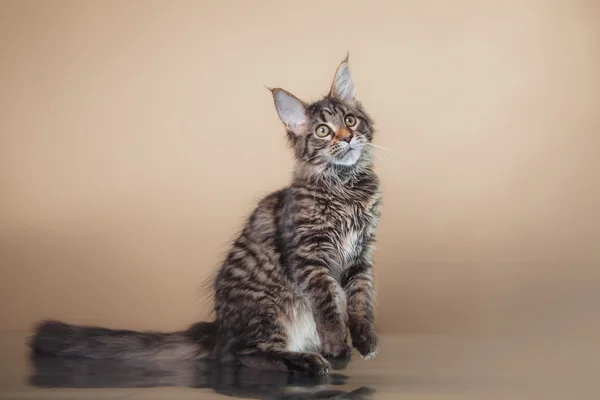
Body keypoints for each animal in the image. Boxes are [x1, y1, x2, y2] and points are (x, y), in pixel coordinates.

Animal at [30, 54, 382, 376]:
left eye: (350, 121)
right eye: (323, 130)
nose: (347, 137)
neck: (346, 189)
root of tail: (218, 330)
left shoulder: (360, 255)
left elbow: (360, 301)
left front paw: (366, 342)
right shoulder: (310, 257)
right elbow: (327, 304)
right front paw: (336, 344)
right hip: (269, 307)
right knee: (241, 356)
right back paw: (307, 360)